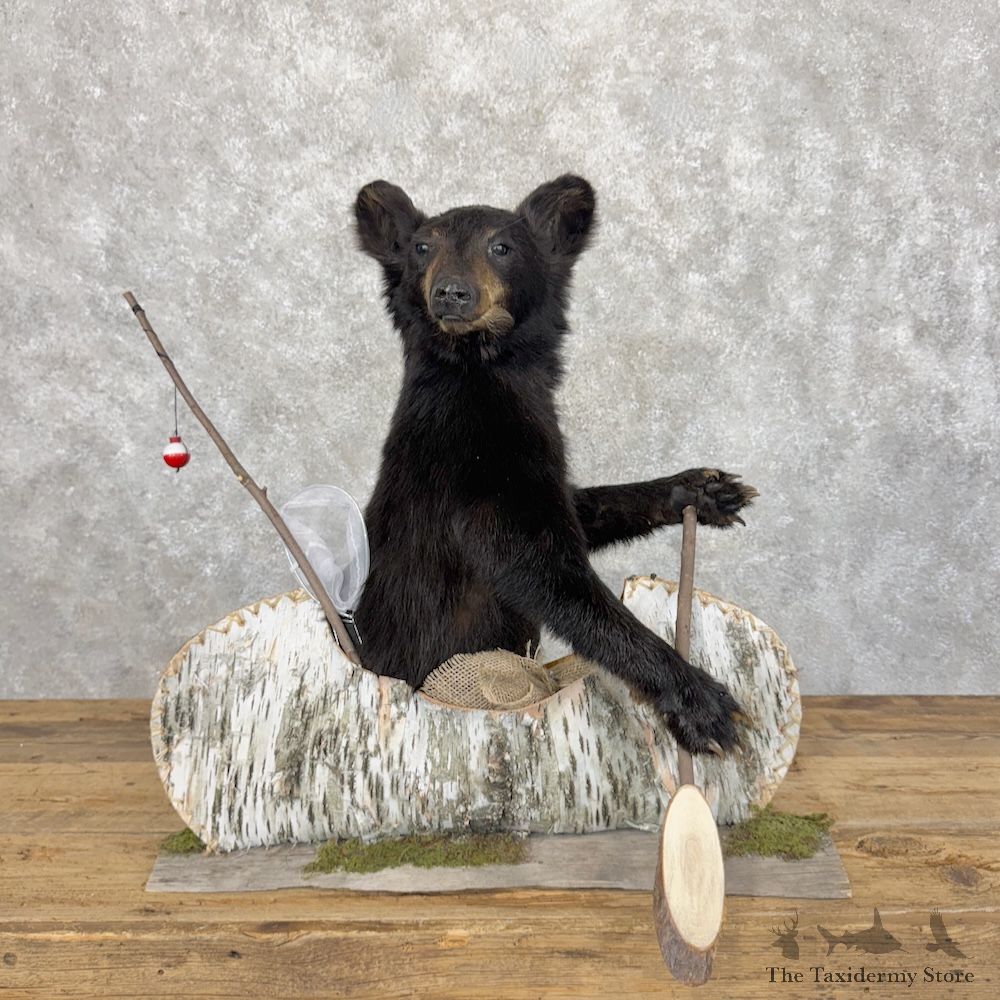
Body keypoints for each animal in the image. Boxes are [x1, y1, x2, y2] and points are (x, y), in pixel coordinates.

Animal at [350, 174, 756, 755]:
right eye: (422, 247)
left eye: (501, 247)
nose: (451, 292)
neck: (481, 372)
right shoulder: (468, 465)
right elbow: (540, 567)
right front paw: (699, 700)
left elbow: (579, 508)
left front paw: (701, 489)